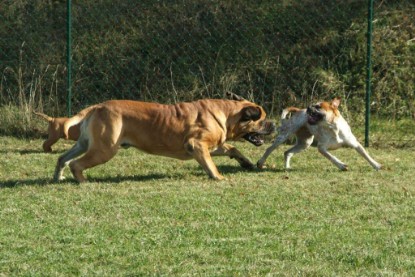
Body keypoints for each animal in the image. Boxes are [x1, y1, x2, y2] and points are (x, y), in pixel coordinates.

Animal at [54, 97, 276, 181]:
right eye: (262, 119)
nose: (273, 124)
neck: (227, 113)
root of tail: (98, 107)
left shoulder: (214, 146)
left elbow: (233, 149)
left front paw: (246, 163)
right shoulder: (198, 145)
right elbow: (210, 163)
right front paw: (217, 176)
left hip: (84, 145)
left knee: (62, 158)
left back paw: (58, 177)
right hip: (103, 150)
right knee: (76, 163)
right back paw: (82, 181)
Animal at [256, 97, 384, 170]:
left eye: (318, 106)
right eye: (313, 105)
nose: (308, 107)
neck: (333, 128)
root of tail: (299, 110)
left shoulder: (355, 144)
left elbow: (366, 155)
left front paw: (376, 165)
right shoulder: (321, 148)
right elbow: (332, 157)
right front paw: (341, 165)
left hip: (304, 143)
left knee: (287, 152)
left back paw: (287, 168)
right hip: (283, 136)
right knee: (269, 149)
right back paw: (261, 163)